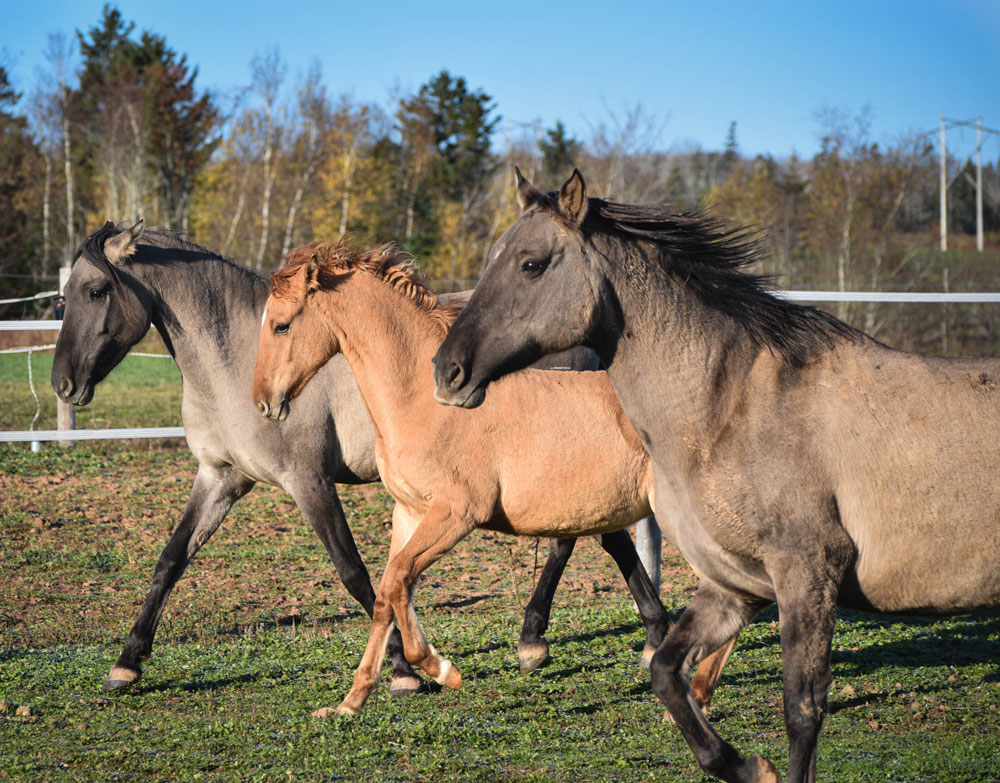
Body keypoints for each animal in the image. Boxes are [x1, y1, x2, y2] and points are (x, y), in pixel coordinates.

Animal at [50, 219, 668, 692]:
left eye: (97, 291)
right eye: (64, 296)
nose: (63, 384)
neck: (234, 361)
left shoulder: (309, 481)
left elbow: (355, 573)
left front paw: (403, 671)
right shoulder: (220, 478)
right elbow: (171, 560)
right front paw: (126, 665)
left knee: (588, 537)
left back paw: (568, 639)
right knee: (599, 535)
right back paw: (583, 638)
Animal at [250, 240, 736, 716]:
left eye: (281, 325)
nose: (262, 403)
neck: (422, 400)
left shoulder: (457, 513)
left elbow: (396, 580)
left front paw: (442, 670)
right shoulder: (409, 512)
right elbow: (389, 592)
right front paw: (352, 702)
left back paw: (693, 694)